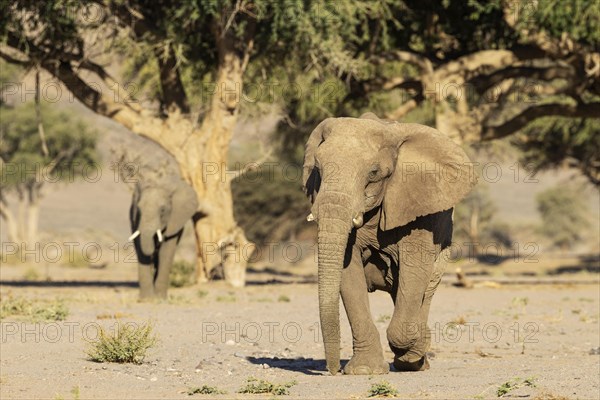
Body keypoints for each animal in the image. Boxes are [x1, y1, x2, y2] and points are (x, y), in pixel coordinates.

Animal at [302, 112, 476, 376]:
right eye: (318, 169)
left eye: (373, 172)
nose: (332, 370)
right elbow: (348, 272)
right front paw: (365, 371)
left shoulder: (418, 206)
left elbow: (415, 267)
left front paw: (413, 349)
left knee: (424, 289)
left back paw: (415, 361)